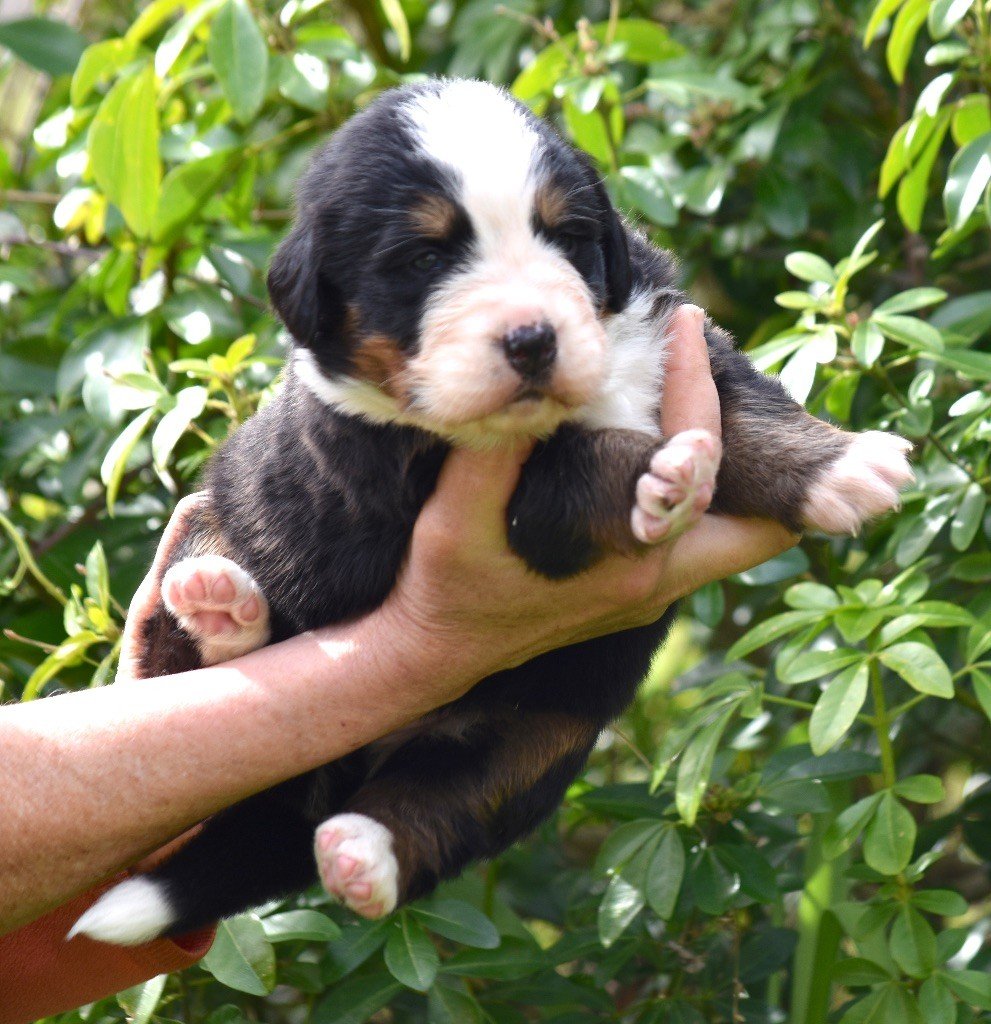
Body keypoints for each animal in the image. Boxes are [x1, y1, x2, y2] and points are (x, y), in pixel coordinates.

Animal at [71, 77, 913, 942]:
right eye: (425, 258)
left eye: (564, 236)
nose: (532, 338)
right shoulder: (456, 484)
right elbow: (578, 468)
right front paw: (658, 474)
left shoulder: (672, 332)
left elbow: (748, 409)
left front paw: (841, 465)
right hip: (219, 518)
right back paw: (220, 607)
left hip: (533, 743)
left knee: (444, 799)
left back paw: (362, 849)